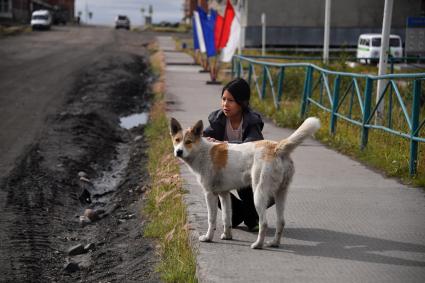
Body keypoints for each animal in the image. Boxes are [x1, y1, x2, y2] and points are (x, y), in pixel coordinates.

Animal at [168, 116, 318, 250]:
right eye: (177, 140)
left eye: (188, 142)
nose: (178, 151)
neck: (201, 151)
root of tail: (276, 147)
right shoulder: (224, 194)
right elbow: (226, 217)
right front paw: (227, 235)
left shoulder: (210, 194)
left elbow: (212, 219)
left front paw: (208, 238)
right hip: (280, 194)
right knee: (281, 222)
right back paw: (274, 243)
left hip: (258, 195)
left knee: (264, 223)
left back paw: (258, 245)